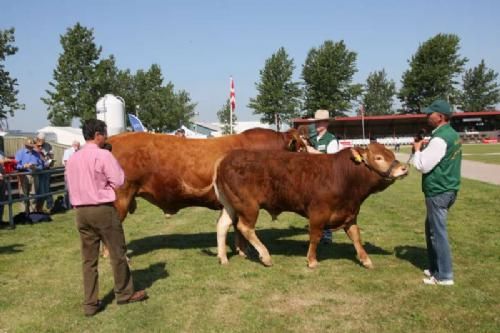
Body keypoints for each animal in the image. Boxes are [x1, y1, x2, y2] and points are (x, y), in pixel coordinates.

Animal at [214, 143, 406, 268]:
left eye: (391, 154)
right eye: (378, 157)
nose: (404, 168)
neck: (343, 175)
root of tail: (225, 159)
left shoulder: (350, 214)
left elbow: (356, 237)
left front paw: (365, 259)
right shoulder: (318, 213)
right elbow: (315, 236)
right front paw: (312, 260)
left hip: (231, 205)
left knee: (223, 225)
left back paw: (223, 257)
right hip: (248, 205)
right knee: (245, 227)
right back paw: (266, 256)